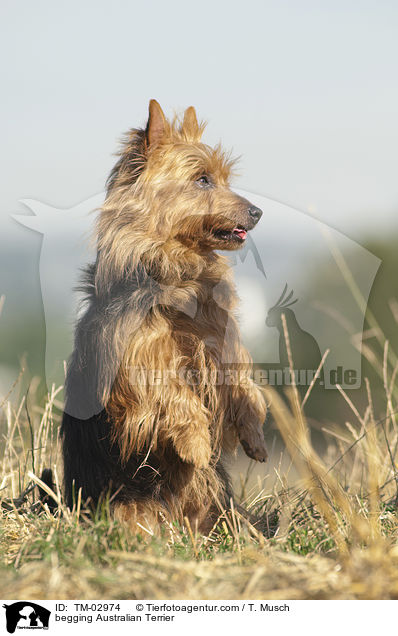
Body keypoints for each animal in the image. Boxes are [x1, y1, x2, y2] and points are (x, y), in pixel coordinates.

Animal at [62, 100, 268, 532]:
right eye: (203, 180)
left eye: (223, 179)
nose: (257, 212)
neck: (179, 271)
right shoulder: (138, 357)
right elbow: (172, 393)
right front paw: (196, 444)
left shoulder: (219, 340)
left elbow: (241, 381)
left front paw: (255, 437)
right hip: (123, 506)